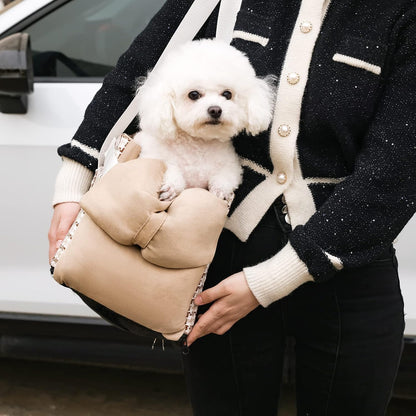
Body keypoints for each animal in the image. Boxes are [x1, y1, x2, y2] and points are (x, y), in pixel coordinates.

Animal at [135, 38, 274, 200]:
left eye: (227, 94)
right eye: (193, 94)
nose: (215, 110)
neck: (199, 144)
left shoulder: (230, 167)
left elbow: (226, 178)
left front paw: (220, 191)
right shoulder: (152, 156)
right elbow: (170, 168)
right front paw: (171, 186)